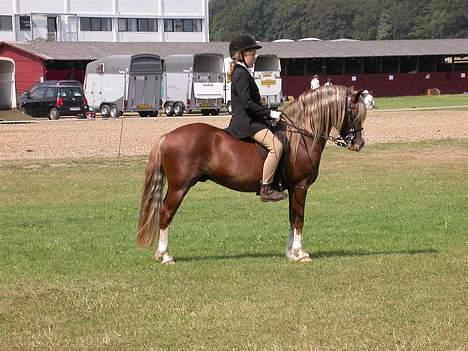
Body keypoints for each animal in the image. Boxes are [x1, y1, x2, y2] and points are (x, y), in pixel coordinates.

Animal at [135, 86, 366, 266]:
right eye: (354, 112)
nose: (359, 143)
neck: (301, 135)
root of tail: (166, 137)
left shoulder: (293, 189)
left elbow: (292, 218)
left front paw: (291, 253)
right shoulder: (301, 186)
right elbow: (299, 218)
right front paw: (300, 254)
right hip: (179, 187)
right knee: (166, 213)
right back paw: (165, 256)